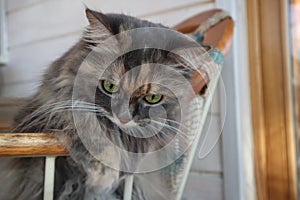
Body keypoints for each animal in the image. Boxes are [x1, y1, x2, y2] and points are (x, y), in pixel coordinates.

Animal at [0, 8, 206, 200]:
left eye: (152, 98)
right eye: (109, 86)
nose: (123, 118)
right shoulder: (43, 117)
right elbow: (90, 131)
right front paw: (104, 176)